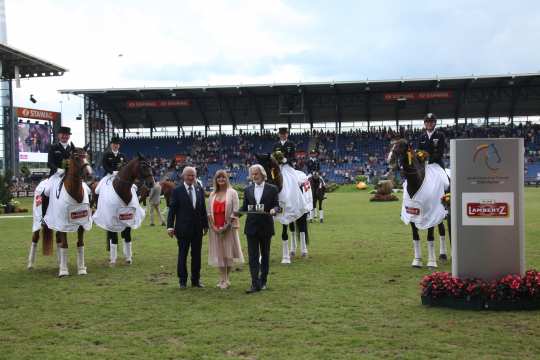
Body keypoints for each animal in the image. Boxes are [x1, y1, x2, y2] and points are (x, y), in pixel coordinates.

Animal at [29, 143, 93, 276]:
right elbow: (65, 245)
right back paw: (30, 264)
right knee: (35, 239)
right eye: (76, 157)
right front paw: (63, 271)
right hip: (38, 222)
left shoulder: (81, 224)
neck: (75, 194)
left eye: (87, 156)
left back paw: (60, 263)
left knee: (58, 239)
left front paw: (81, 269)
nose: (89, 174)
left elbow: (80, 244)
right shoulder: (63, 223)